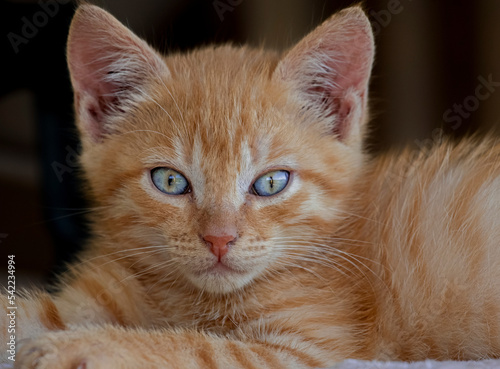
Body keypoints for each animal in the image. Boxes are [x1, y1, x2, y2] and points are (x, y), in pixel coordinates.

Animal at [2, 3, 500, 368]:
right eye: (169, 181)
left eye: (271, 183)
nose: (220, 239)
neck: (187, 297)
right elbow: (23, 312)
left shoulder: (304, 348)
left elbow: (191, 345)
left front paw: (86, 346)